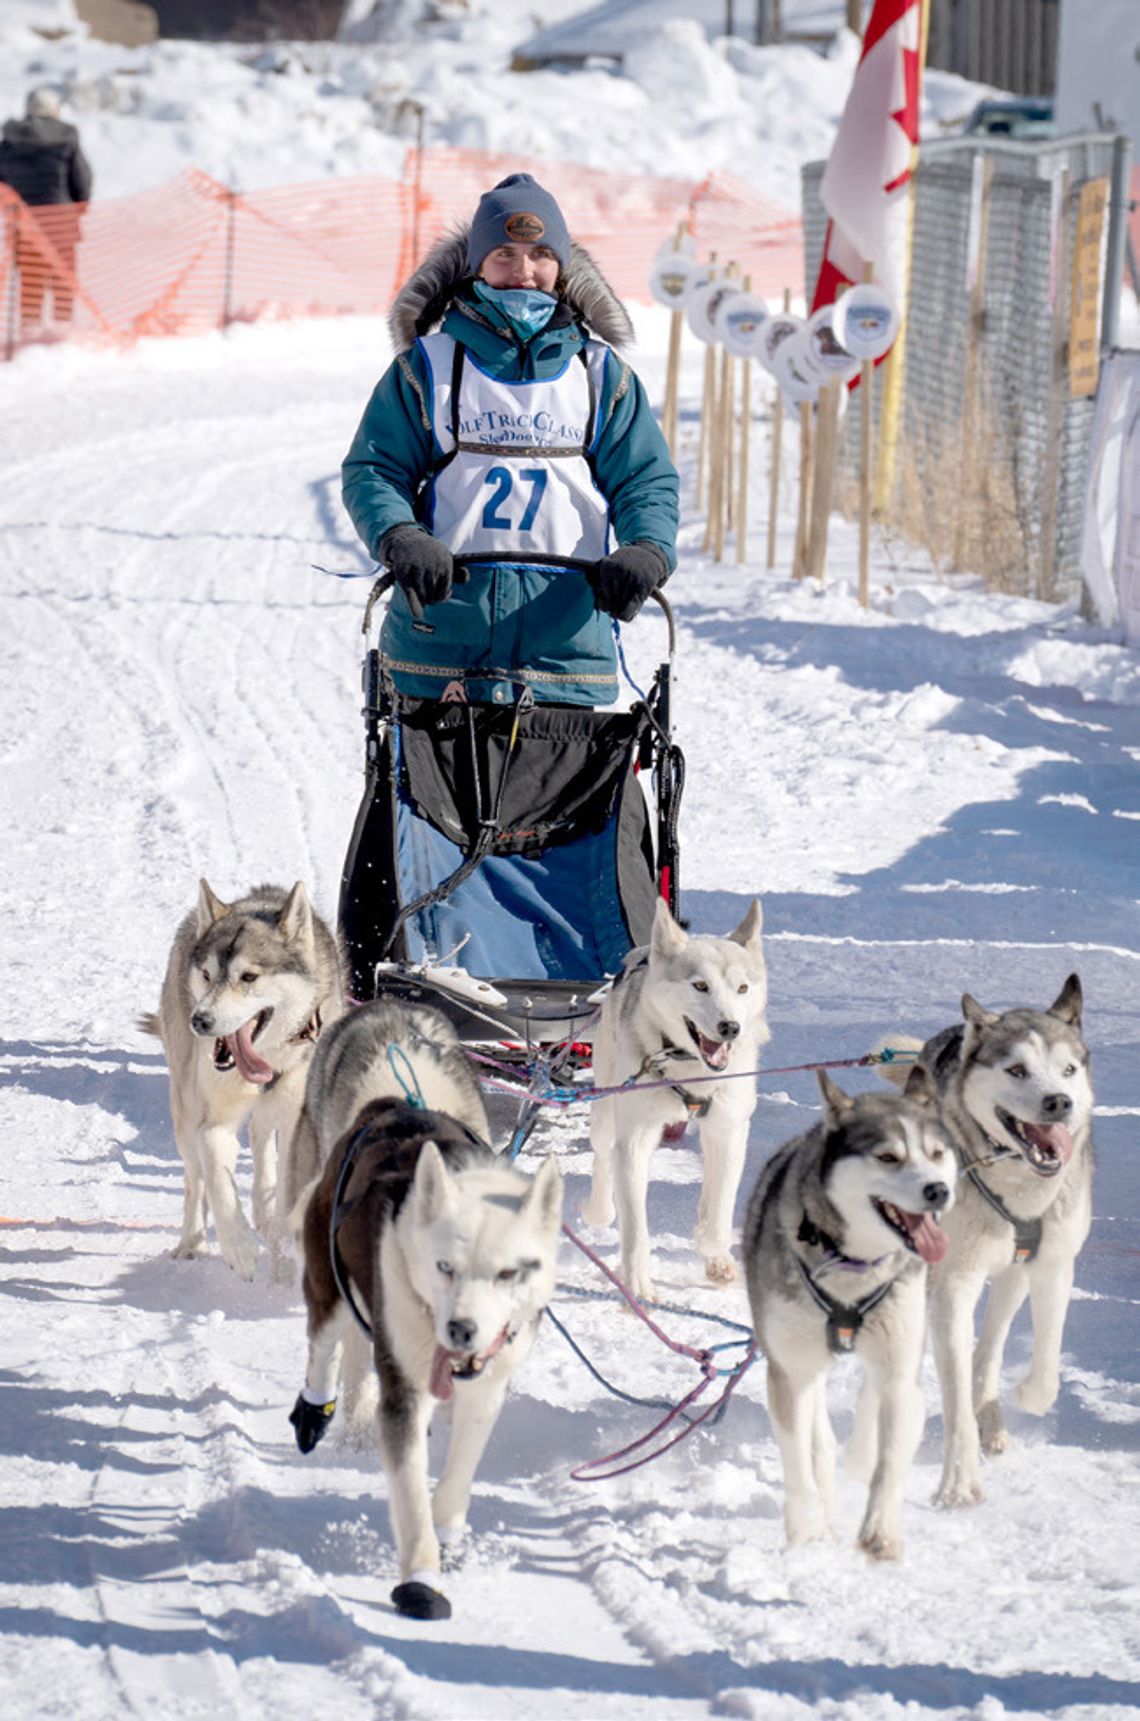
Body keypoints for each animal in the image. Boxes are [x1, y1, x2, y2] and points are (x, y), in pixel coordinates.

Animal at [140, 888, 344, 1280]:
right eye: (207, 975)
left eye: (249, 977)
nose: (200, 1020)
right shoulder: (213, 1121)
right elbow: (217, 1177)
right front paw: (239, 1246)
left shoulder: (297, 1118)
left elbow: (286, 1188)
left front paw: (282, 1255)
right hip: (184, 1109)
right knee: (194, 1178)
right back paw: (193, 1243)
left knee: (262, 1139)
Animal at [285, 1005, 561, 1617]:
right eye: (444, 1267)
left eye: (509, 1273)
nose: (461, 1330)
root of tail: (391, 1105)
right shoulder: (404, 1389)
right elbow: (410, 1489)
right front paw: (420, 1576)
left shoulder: (487, 1385)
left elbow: (459, 1472)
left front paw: (448, 1529)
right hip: (328, 1283)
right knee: (323, 1343)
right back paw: (314, 1411)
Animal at [585, 894, 771, 1294]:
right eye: (700, 986)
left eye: (743, 989)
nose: (730, 1027)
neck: (691, 1072)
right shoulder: (634, 1139)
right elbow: (635, 1228)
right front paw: (636, 1283)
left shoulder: (728, 1131)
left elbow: (718, 1214)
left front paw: (714, 1254)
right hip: (606, 1111)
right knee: (603, 1156)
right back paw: (599, 1210)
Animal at [750, 1073, 957, 1562]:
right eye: (888, 1157)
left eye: (936, 1153)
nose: (938, 1190)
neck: (853, 1264)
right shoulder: (789, 1372)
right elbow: (798, 1460)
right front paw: (805, 1530)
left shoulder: (900, 1370)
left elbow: (891, 1459)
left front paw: (880, 1529)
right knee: (818, 1443)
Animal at [878, 977, 1095, 1514]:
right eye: (1016, 1070)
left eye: (1068, 1069)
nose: (1058, 1102)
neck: (1017, 1184)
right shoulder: (954, 1284)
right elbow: (954, 1393)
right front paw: (958, 1482)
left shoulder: (1054, 1266)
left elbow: (1045, 1365)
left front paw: (1025, 1397)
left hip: (1013, 1276)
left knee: (990, 1348)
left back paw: (992, 1416)